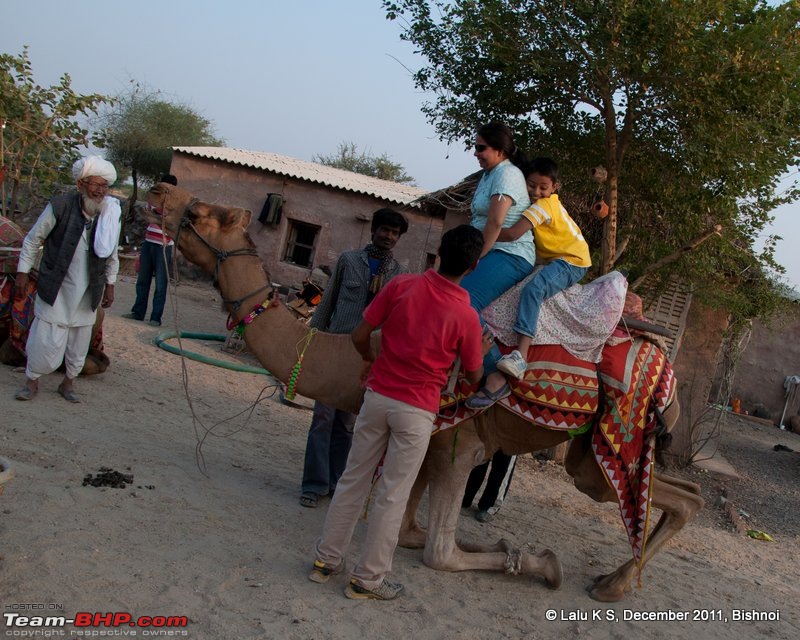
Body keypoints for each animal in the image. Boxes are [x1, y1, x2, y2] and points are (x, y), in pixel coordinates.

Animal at [145, 184, 708, 600]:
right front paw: (498, 542)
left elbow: (439, 550)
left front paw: (542, 563)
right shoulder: (433, 439)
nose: (158, 189)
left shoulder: (463, 446)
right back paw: (614, 579)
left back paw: (612, 586)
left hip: (609, 442)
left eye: (199, 212)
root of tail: (664, 362)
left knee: (671, 499)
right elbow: (411, 530)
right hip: (592, 449)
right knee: (686, 496)